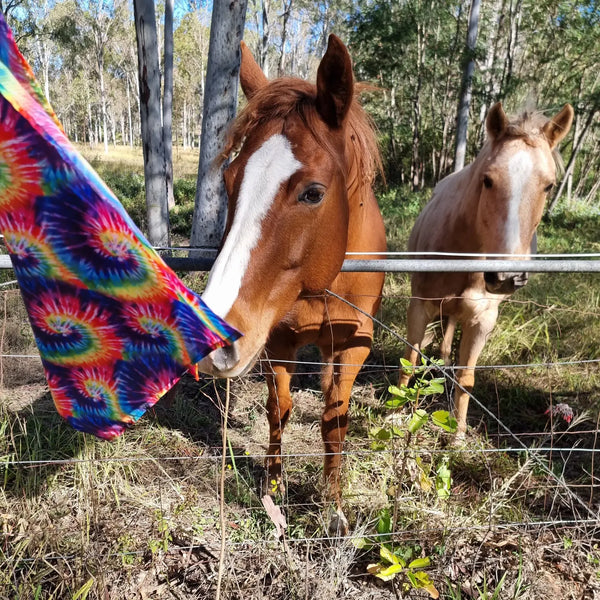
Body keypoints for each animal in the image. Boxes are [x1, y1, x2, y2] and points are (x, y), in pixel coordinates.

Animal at [197, 35, 384, 528]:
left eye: (313, 193)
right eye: (229, 179)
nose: (214, 339)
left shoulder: (354, 344)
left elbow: (334, 418)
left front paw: (334, 507)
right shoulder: (277, 339)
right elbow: (278, 410)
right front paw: (272, 488)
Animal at [400, 102, 576, 436]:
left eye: (548, 186)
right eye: (488, 180)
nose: (507, 276)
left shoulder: (483, 319)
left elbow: (466, 378)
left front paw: (457, 433)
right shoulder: (419, 305)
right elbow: (409, 359)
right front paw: (396, 416)